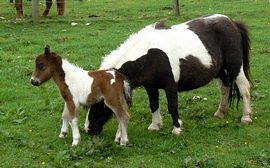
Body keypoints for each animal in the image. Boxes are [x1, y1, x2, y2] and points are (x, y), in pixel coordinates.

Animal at [86, 13, 251, 136]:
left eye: (101, 103)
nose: (89, 129)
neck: (150, 55)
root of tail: (231, 22)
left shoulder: (170, 85)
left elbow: (172, 106)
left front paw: (177, 129)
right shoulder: (150, 86)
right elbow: (153, 104)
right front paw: (155, 126)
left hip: (234, 66)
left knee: (244, 87)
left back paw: (246, 117)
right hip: (219, 70)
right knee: (225, 87)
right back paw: (220, 113)